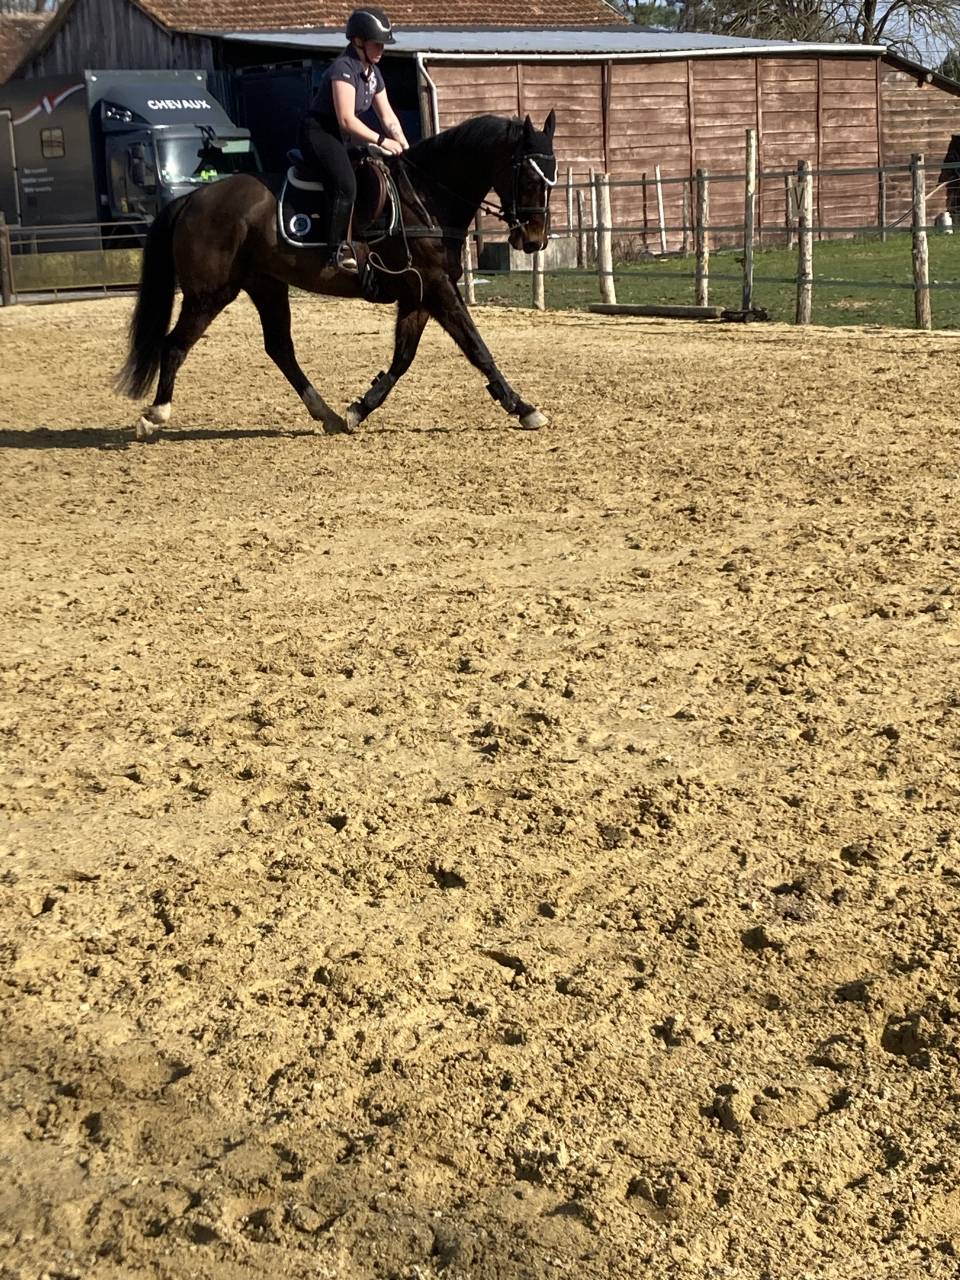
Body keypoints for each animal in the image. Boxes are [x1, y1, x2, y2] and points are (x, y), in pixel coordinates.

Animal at [116, 110, 558, 440]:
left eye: (552, 179)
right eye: (529, 178)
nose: (534, 239)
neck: (426, 196)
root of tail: (193, 199)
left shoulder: (418, 293)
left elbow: (403, 358)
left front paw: (358, 409)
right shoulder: (436, 286)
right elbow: (477, 347)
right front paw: (524, 408)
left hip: (266, 286)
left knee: (280, 349)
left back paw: (325, 413)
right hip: (211, 293)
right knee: (175, 345)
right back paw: (155, 414)